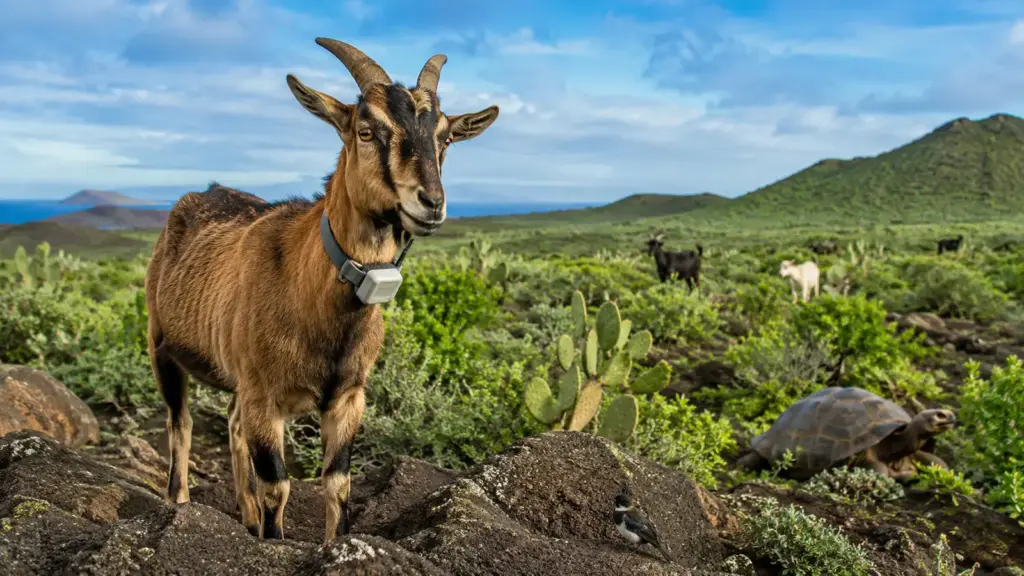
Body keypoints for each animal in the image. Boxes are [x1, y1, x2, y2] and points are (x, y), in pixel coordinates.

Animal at [144, 38, 499, 544]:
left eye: (445, 138)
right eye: (366, 131)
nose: (430, 203)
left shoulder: (349, 397)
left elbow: (338, 483)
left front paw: (330, 540)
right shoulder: (264, 396)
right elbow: (278, 486)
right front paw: (272, 539)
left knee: (231, 423)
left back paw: (245, 516)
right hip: (162, 347)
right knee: (182, 425)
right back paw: (181, 503)